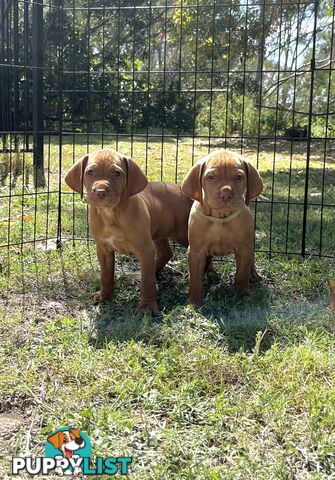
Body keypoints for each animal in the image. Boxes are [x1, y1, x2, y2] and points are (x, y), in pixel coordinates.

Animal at [65, 148, 192, 316]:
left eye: (116, 173)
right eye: (90, 172)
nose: (100, 192)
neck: (111, 214)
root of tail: (182, 190)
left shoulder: (144, 249)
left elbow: (147, 283)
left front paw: (146, 307)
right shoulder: (103, 249)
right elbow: (106, 275)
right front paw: (104, 296)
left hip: (183, 234)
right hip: (158, 232)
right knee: (165, 253)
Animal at [182, 150, 264, 306]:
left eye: (238, 177)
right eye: (211, 177)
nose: (226, 194)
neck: (220, 218)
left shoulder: (244, 249)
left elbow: (241, 275)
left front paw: (243, 295)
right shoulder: (196, 251)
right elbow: (196, 280)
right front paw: (194, 301)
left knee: (250, 259)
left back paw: (253, 273)